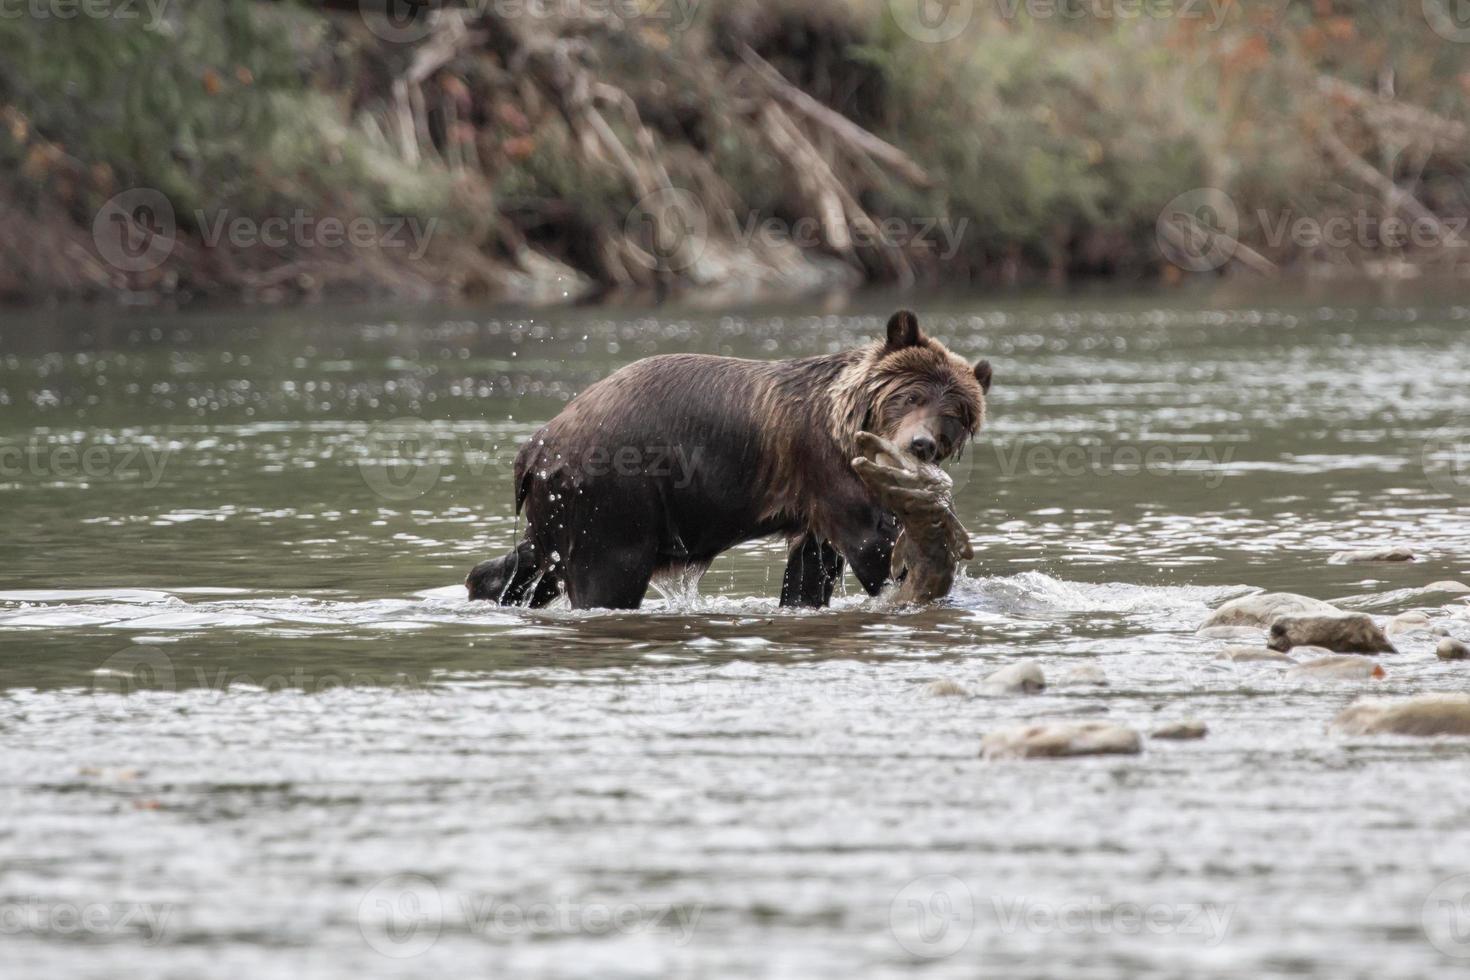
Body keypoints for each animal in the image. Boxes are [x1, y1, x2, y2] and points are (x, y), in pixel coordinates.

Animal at [464, 310, 993, 608]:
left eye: (954, 415)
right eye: (910, 396)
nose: (921, 444)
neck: (845, 424)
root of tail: (535, 445)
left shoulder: (814, 506)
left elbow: (810, 569)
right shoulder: (826, 470)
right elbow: (870, 547)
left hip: (561, 507)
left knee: (527, 564)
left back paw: (489, 586)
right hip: (615, 496)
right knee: (605, 577)